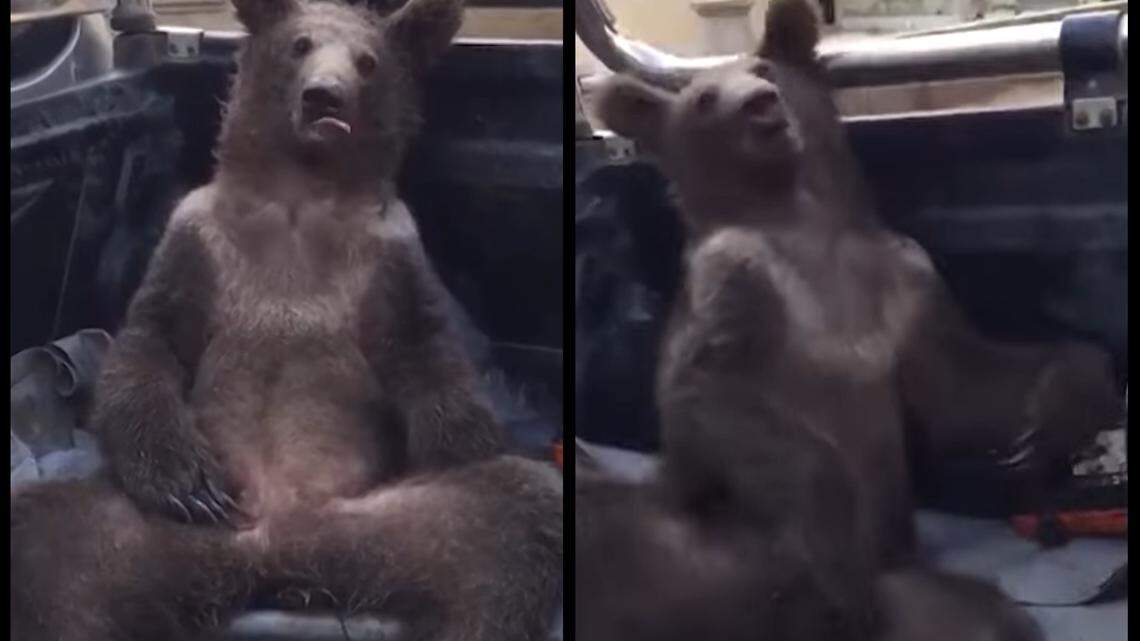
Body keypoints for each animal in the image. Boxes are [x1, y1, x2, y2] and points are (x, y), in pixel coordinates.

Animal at [10, 1, 563, 640]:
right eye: (300, 44)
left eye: (368, 61)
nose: (324, 97)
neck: (300, 194)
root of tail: (276, 554)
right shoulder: (199, 239)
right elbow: (152, 346)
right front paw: (191, 484)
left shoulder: (388, 257)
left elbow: (426, 354)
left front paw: (461, 442)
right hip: (135, 533)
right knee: (48, 550)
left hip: (403, 523)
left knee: (511, 528)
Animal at [577, 0, 1118, 638]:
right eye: (704, 97)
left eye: (764, 69)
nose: (758, 103)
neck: (804, 224)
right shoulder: (738, 277)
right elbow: (711, 396)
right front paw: (828, 525)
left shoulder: (904, 288)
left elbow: (964, 388)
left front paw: (1049, 421)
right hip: (691, 557)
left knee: (980, 615)